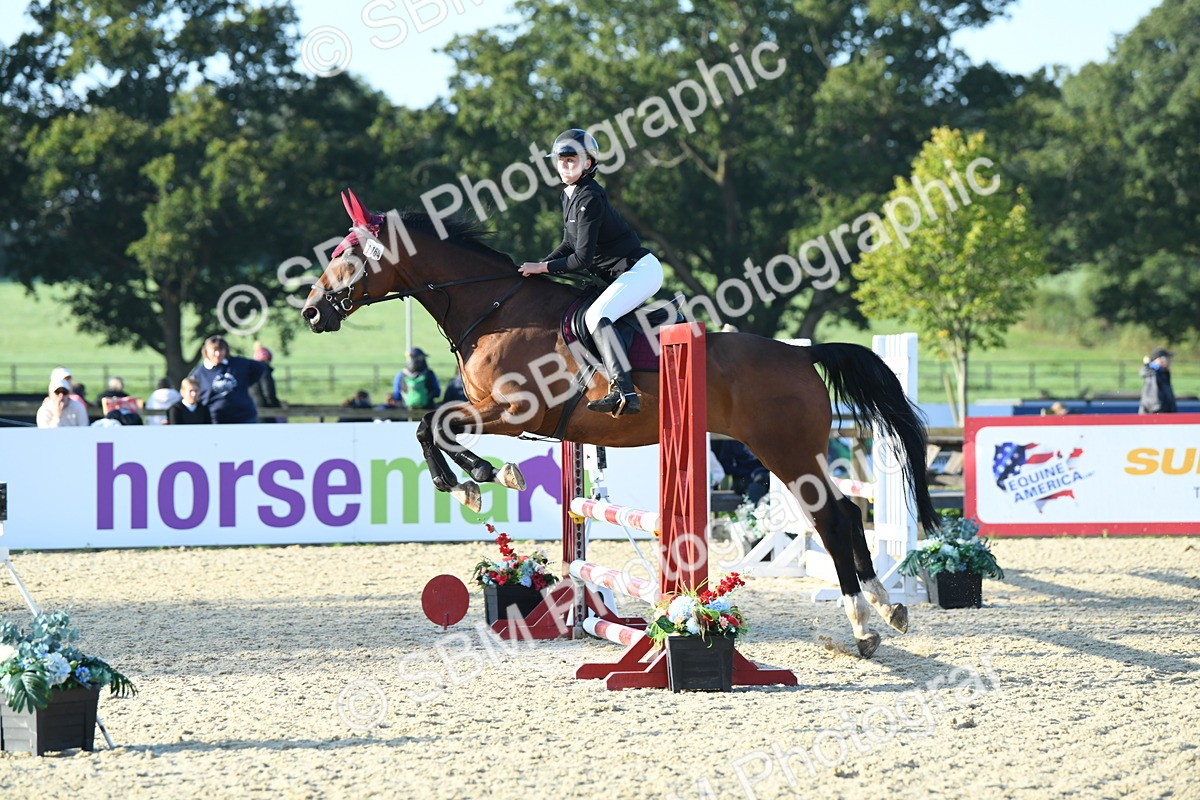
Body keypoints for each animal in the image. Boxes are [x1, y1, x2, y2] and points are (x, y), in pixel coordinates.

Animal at [301, 190, 939, 658]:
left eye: (345, 255)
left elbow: (433, 424)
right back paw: (888, 607)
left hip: (785, 449)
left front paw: (481, 478)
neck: (494, 310)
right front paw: (476, 481)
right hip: (793, 451)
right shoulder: (488, 408)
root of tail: (799, 355)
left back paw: (863, 623)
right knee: (848, 511)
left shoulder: (510, 410)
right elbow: (429, 425)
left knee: (830, 516)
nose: (311, 312)